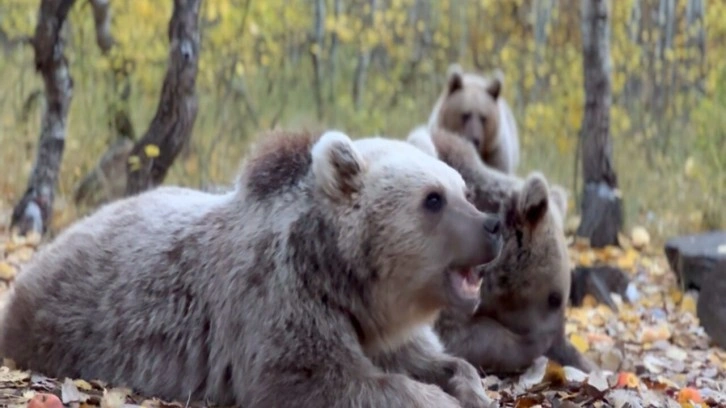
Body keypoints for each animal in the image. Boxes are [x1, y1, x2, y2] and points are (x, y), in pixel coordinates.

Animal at [0, 130, 504, 408]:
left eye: (464, 190)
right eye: (433, 199)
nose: (493, 226)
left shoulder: (380, 328)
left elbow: (435, 359)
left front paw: (470, 390)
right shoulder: (277, 297)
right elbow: (317, 380)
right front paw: (438, 400)